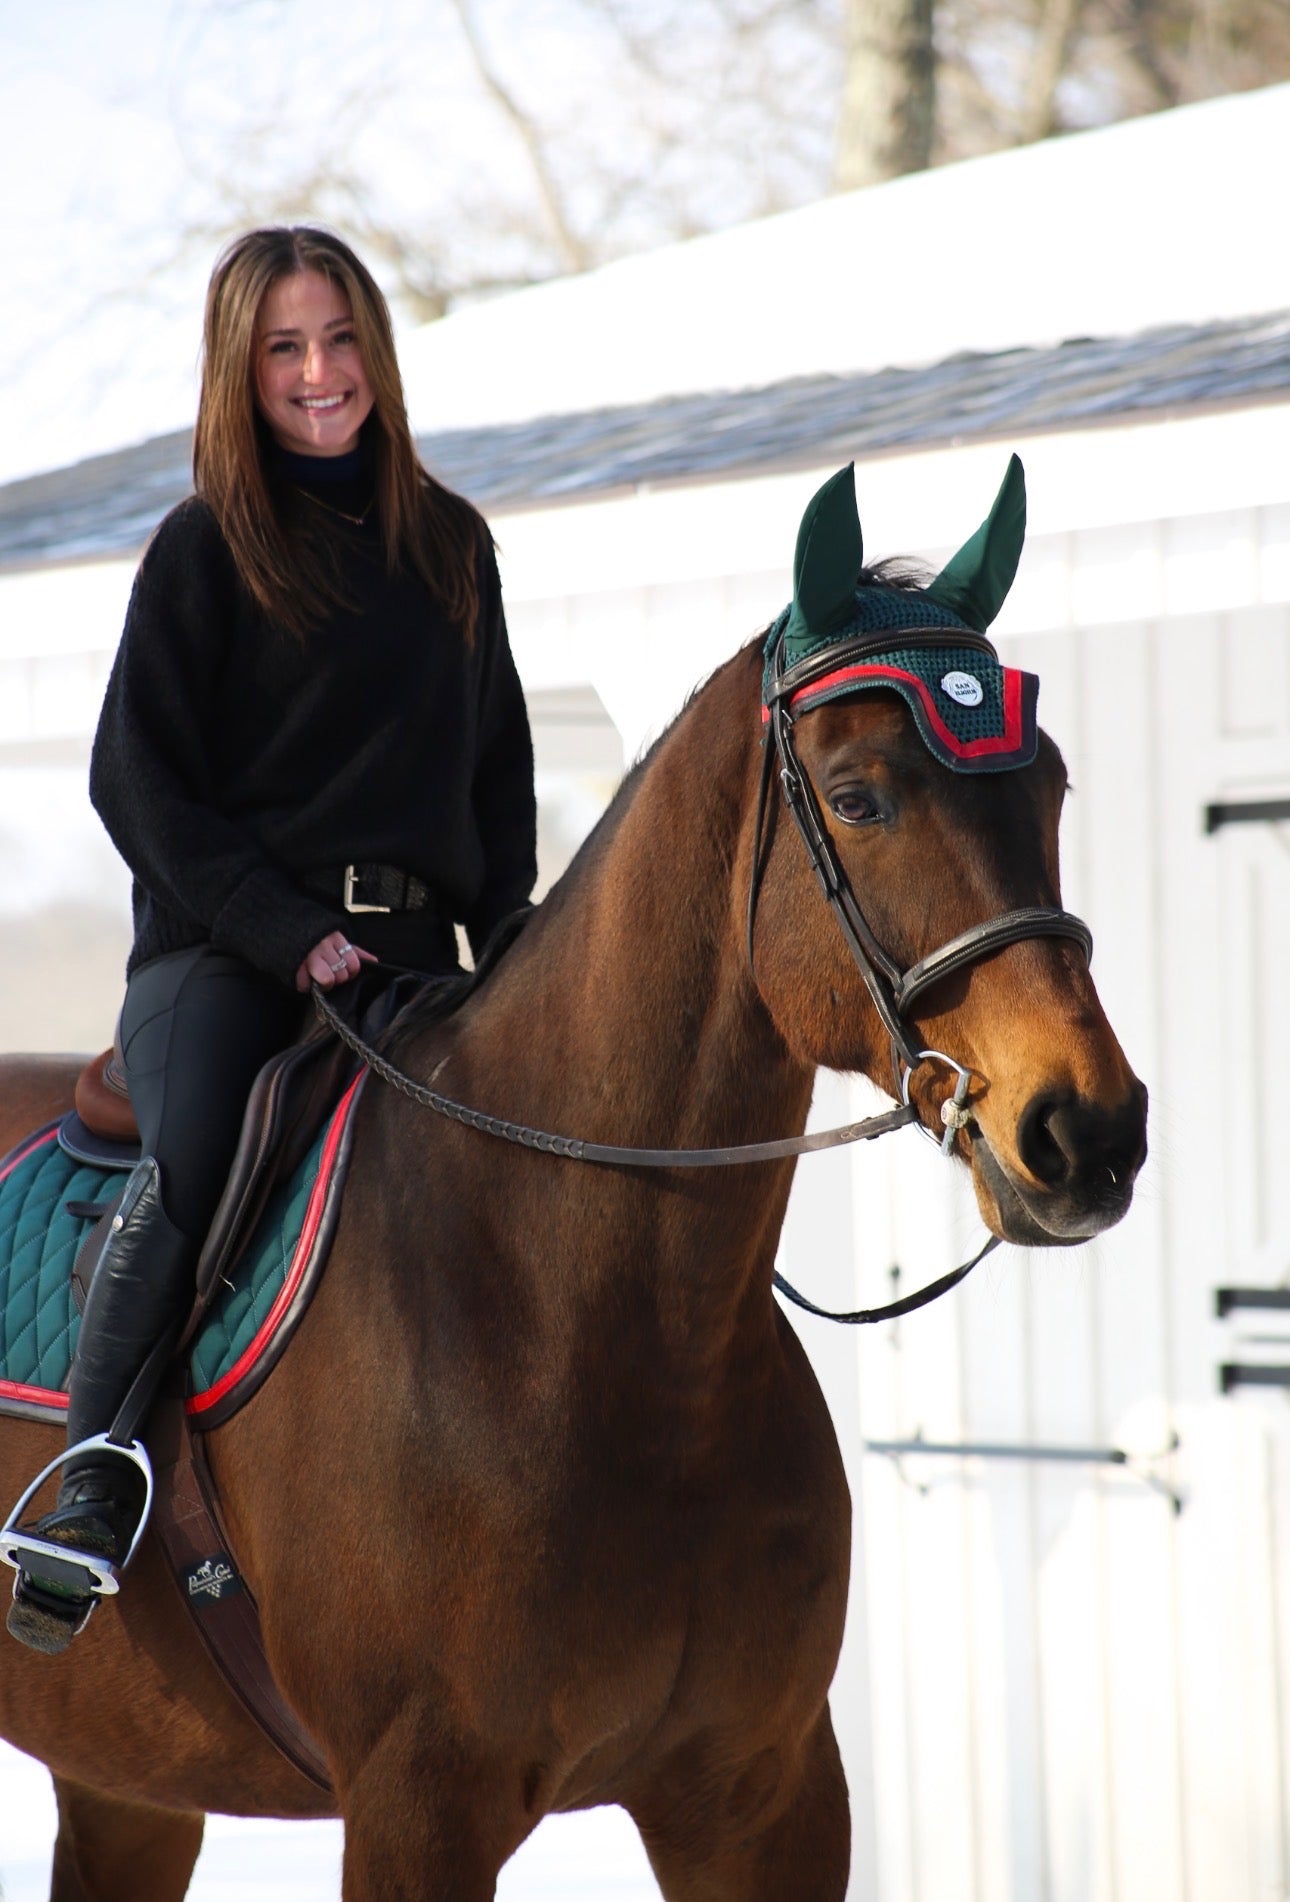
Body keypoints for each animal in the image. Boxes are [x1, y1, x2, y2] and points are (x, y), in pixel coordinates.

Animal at [0, 469, 1146, 1901]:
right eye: (859, 797)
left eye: (1047, 782)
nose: (1087, 1130)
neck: (589, 1325)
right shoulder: (417, 1810)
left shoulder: (762, 1796)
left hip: (128, 1782)